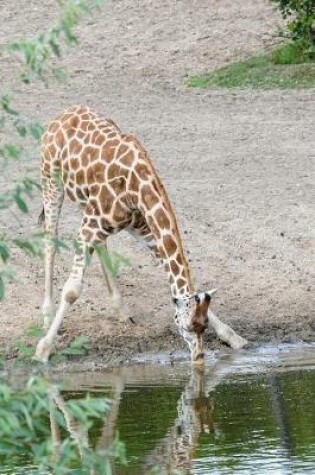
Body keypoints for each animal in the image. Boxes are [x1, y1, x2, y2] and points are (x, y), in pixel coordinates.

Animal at [34, 105, 247, 364]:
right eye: (185, 327)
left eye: (203, 325)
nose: (198, 358)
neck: (137, 187)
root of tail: (62, 115)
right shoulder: (90, 227)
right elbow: (73, 290)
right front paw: (44, 349)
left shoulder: (141, 227)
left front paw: (232, 336)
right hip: (51, 182)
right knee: (49, 239)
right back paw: (46, 315)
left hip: (90, 207)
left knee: (100, 244)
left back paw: (122, 310)